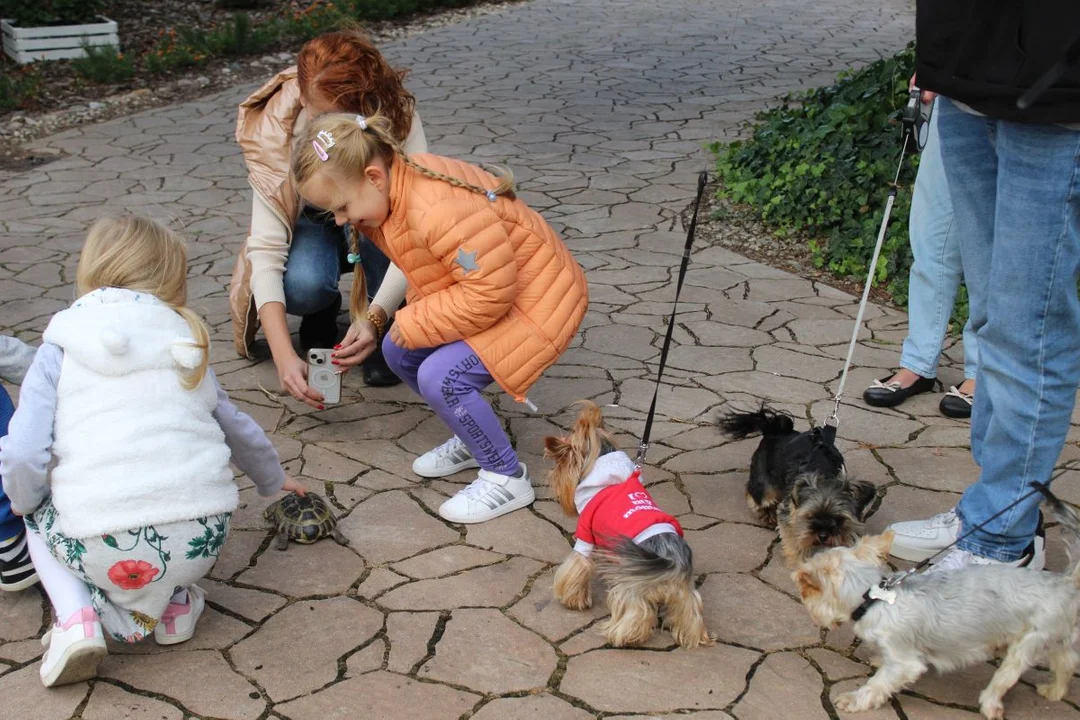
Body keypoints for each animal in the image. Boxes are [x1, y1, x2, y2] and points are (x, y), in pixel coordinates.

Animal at [544, 403, 712, 651]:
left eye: (560, 465)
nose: (553, 479)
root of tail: (671, 560)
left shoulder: (585, 535)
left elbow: (577, 565)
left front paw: (572, 600)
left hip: (632, 585)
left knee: (636, 612)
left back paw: (623, 637)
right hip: (682, 590)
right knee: (691, 609)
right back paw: (694, 637)